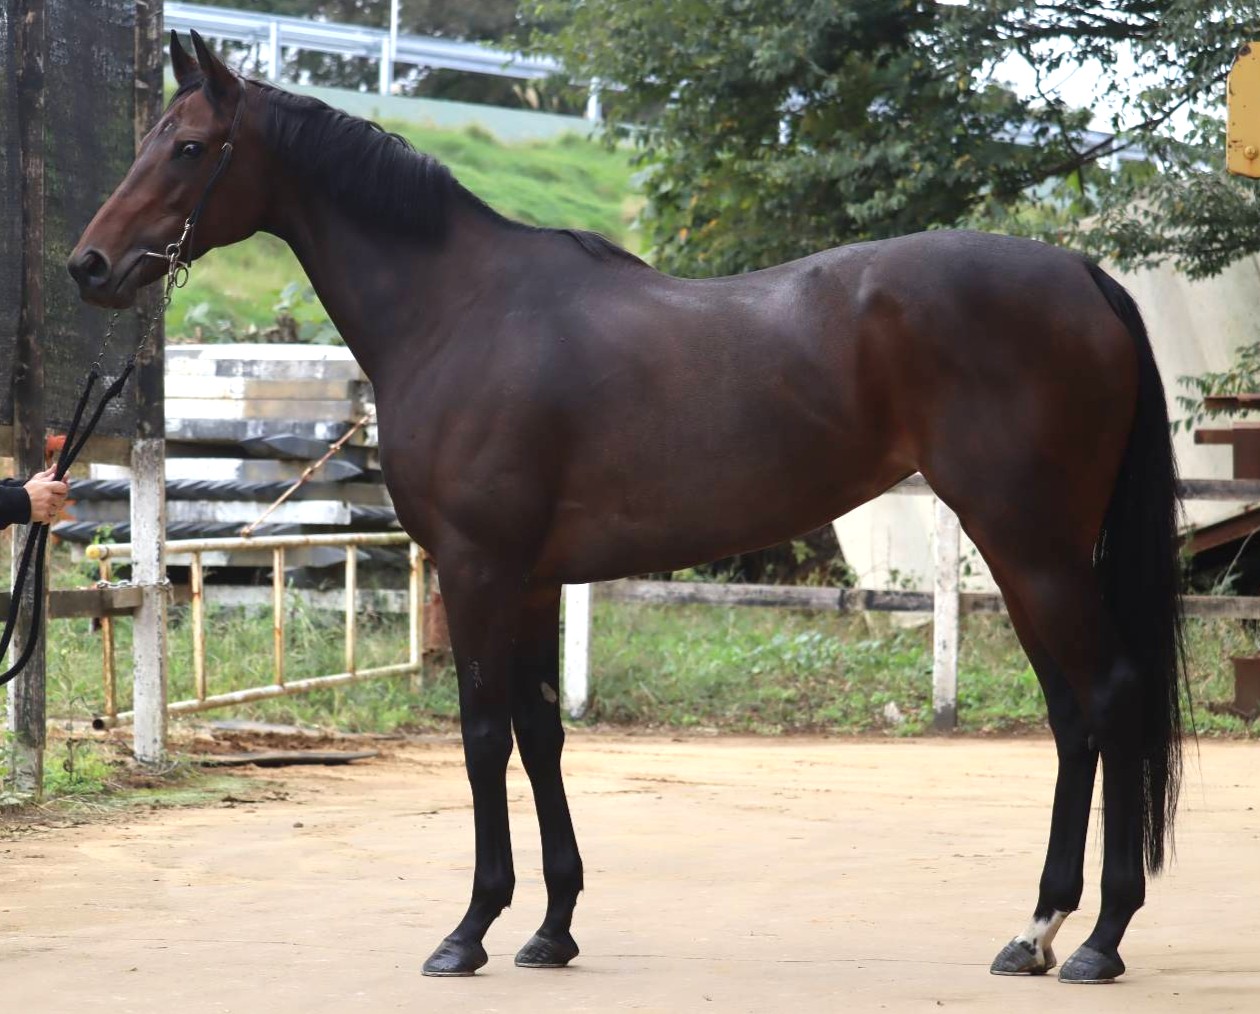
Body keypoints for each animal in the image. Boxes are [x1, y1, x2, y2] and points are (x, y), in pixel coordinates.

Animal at [69, 31, 1186, 984]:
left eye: (189, 148)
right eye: (151, 142)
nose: (89, 265)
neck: (457, 311)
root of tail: (1084, 273)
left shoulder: (476, 569)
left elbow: (482, 735)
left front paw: (469, 931)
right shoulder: (528, 580)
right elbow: (539, 733)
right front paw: (552, 928)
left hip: (1030, 545)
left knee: (1111, 696)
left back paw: (1098, 938)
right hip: (1028, 553)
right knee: (1073, 715)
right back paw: (1035, 932)